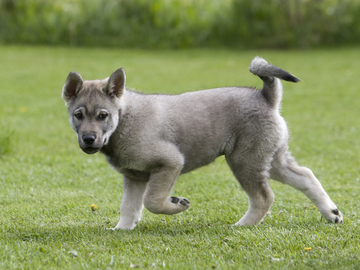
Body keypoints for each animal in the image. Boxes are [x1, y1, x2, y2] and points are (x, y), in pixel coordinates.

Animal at [62, 57, 344, 230]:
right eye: (78, 115)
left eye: (102, 116)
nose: (88, 140)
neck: (124, 120)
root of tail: (266, 97)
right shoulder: (134, 177)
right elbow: (129, 207)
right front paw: (122, 229)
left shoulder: (169, 163)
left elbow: (152, 201)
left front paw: (176, 205)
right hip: (271, 159)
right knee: (306, 176)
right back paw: (331, 213)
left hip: (245, 161)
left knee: (264, 197)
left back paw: (243, 225)